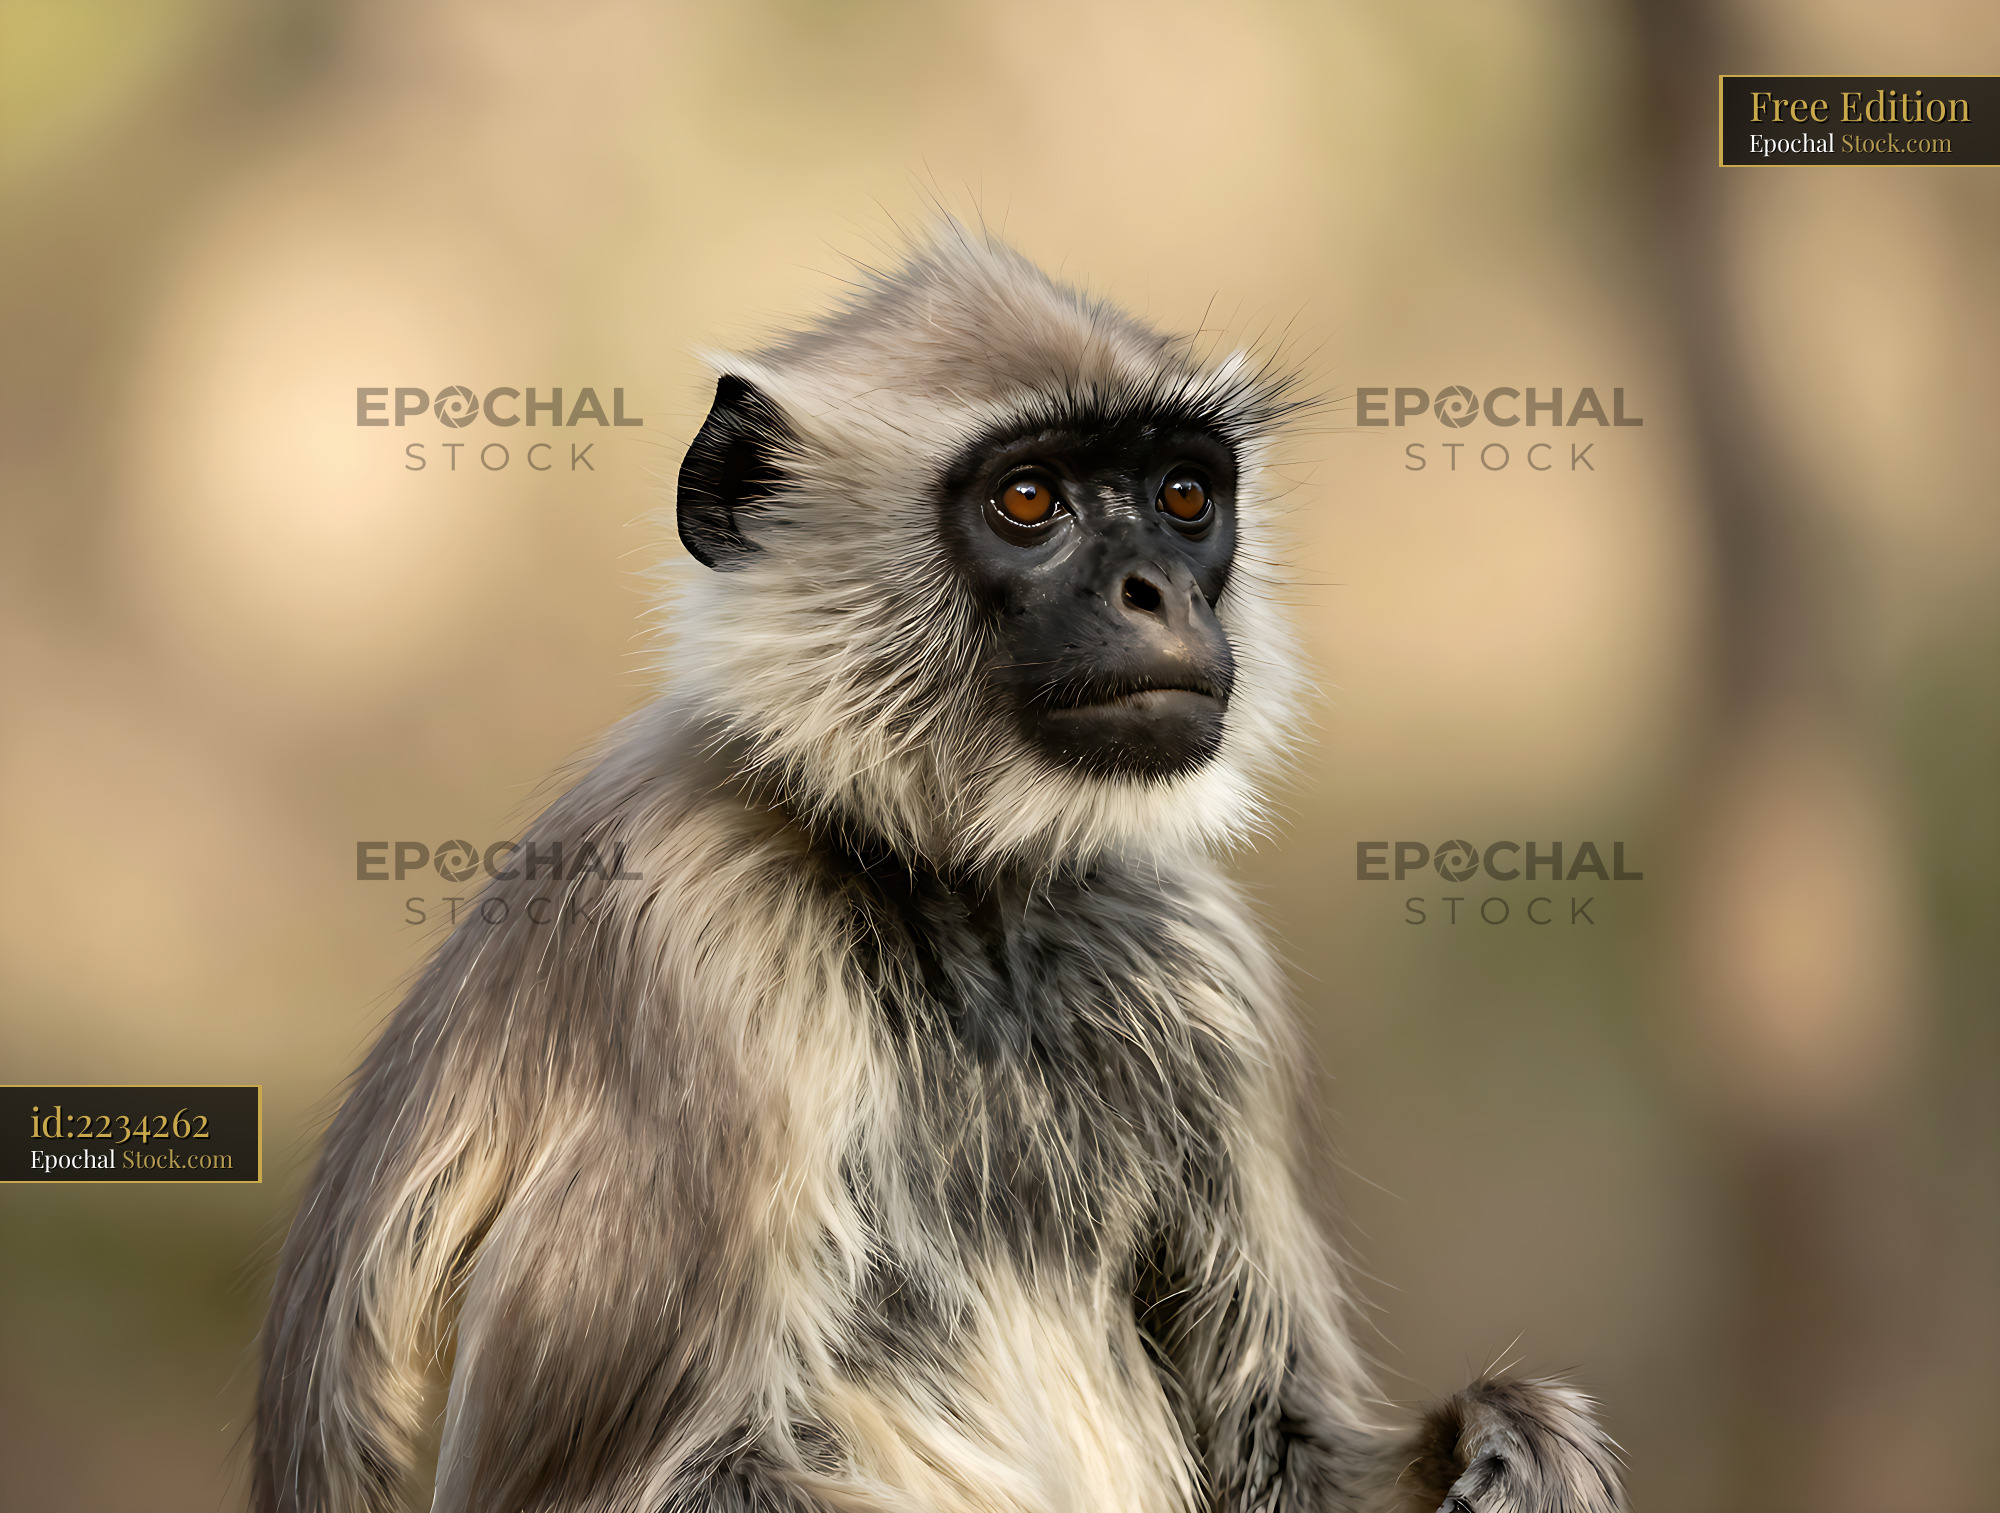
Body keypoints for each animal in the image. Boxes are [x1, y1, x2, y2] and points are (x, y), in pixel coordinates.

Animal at [254, 224, 1625, 1513]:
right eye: (1027, 501)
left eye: (1184, 496)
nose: (1158, 593)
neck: (961, 903)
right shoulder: (696, 945)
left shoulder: (1195, 956)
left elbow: (1283, 1447)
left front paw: (1516, 1450)